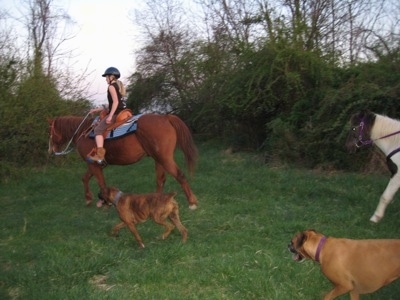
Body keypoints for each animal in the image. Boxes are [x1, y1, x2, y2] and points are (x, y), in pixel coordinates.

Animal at [48, 113, 198, 210]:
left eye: (50, 130)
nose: (50, 150)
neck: (83, 133)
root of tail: (165, 117)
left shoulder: (93, 165)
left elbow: (101, 183)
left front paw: (105, 202)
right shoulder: (94, 164)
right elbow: (85, 178)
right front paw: (88, 198)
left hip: (164, 158)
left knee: (179, 175)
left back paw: (192, 203)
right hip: (158, 159)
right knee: (160, 180)